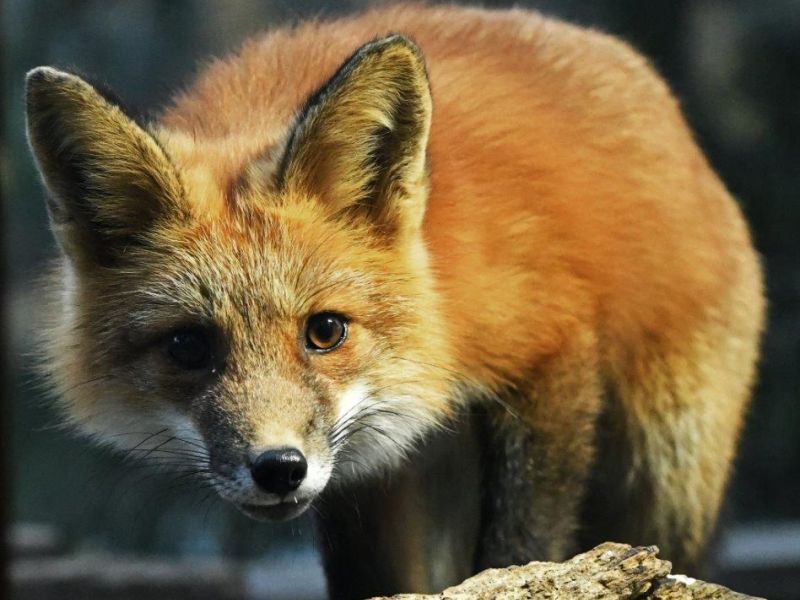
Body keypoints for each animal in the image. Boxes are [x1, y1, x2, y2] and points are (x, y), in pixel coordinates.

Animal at [25, 3, 764, 599]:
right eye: (187, 347)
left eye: (325, 331)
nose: (279, 469)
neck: (440, 307)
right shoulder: (357, 477)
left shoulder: (548, 352)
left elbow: (523, 549)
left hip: (668, 475)